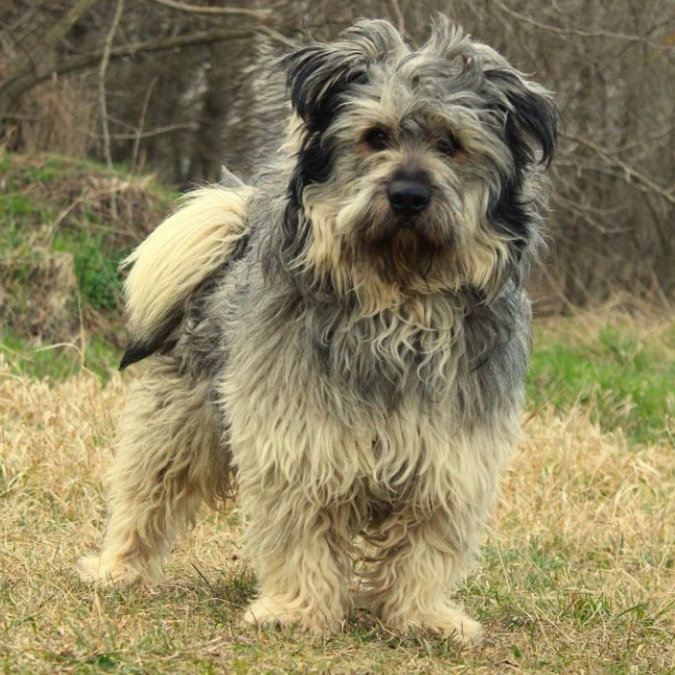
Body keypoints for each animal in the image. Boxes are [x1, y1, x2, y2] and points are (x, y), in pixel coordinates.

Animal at [80, 17, 558, 644]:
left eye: (450, 143)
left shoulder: (452, 453)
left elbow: (427, 545)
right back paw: (117, 569)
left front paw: (420, 616)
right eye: (375, 136)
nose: (409, 195)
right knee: (146, 491)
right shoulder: (299, 438)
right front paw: (296, 610)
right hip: (179, 420)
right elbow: (301, 531)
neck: (396, 301)